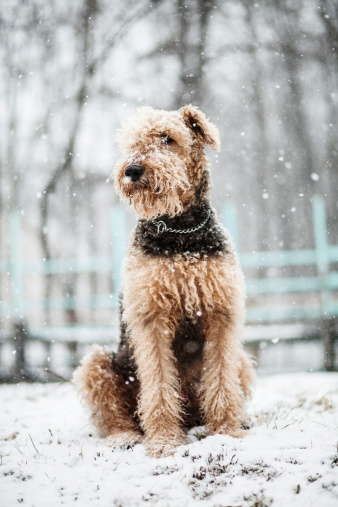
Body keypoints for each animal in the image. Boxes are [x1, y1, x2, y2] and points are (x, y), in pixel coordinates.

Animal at [73, 105, 254, 458]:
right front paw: (164, 442)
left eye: (167, 138)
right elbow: (158, 386)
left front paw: (227, 432)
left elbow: (221, 382)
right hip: (96, 364)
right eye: (132, 142)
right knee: (117, 417)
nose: (132, 170)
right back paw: (125, 437)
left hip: (241, 361)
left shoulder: (221, 314)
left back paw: (238, 421)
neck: (179, 232)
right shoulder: (152, 318)